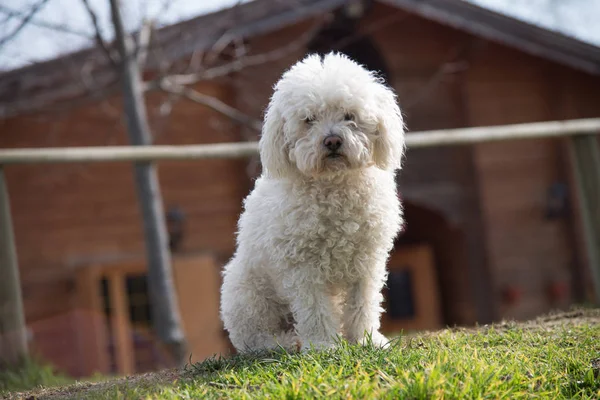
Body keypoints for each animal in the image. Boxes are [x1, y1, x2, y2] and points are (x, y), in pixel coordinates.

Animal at [221, 51, 408, 352]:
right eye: (309, 119)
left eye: (349, 116)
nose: (332, 141)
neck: (334, 186)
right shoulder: (302, 266)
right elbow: (314, 309)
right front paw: (323, 345)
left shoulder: (367, 260)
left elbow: (363, 303)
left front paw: (365, 339)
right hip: (247, 294)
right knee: (256, 340)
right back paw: (289, 341)